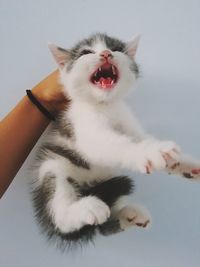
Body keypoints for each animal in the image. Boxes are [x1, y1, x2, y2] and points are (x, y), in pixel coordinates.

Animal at [32, 33, 200, 249]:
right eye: (86, 53)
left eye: (116, 49)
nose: (105, 53)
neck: (106, 106)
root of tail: (89, 187)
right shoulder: (86, 131)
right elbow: (117, 144)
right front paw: (150, 153)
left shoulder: (130, 125)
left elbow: (142, 139)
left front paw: (181, 163)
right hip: (52, 168)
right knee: (62, 217)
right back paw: (87, 209)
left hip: (109, 178)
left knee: (103, 226)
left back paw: (128, 216)